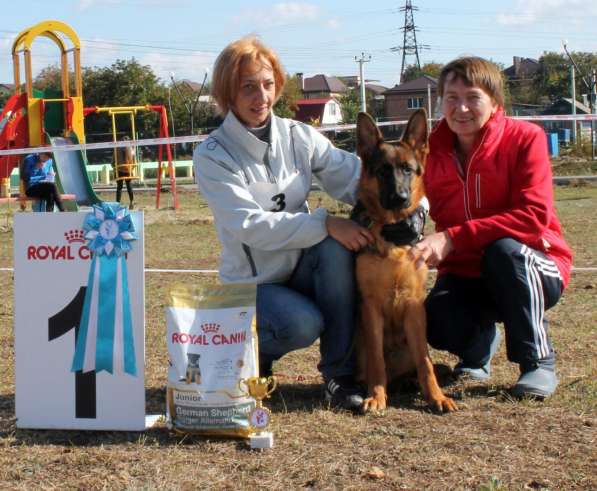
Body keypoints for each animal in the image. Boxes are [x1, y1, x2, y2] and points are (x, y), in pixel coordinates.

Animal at [354, 109, 456, 414]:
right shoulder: (371, 308)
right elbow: (376, 360)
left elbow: (425, 361)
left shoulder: (414, 307)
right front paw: (376, 396)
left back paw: (410, 383)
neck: (392, 230)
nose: (399, 197)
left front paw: (436, 396)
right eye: (383, 171)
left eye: (407, 169)